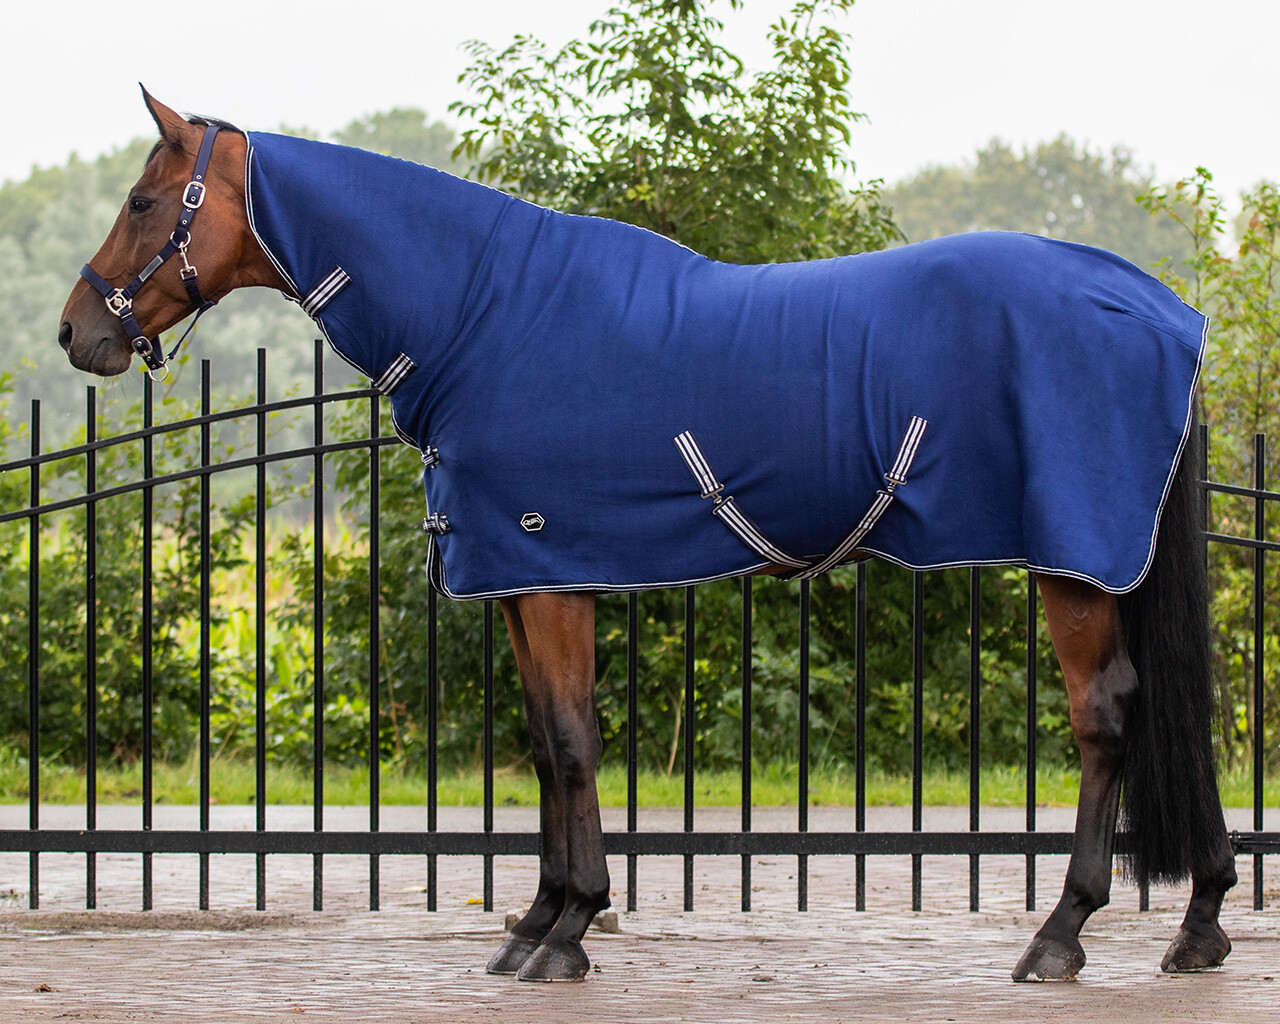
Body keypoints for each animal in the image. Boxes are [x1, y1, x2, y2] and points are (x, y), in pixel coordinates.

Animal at [59, 90, 1238, 983]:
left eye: (143, 199)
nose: (78, 332)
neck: (484, 318)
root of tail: (1158, 309)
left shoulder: (547, 574)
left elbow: (573, 743)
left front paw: (569, 929)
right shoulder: (524, 578)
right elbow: (547, 747)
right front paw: (540, 925)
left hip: (1075, 565)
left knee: (1105, 716)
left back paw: (1060, 936)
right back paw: (1200, 924)